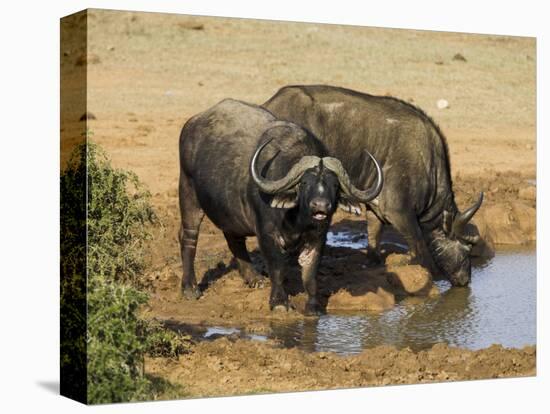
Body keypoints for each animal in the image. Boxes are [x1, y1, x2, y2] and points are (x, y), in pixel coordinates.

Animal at [180, 99, 384, 314]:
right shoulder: (267, 234)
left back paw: (254, 278)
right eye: (304, 183)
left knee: (234, 239)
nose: (320, 206)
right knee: (188, 237)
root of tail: (192, 123)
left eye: (334, 185)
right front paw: (279, 302)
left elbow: (310, 273)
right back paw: (190, 288)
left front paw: (313, 306)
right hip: (188, 192)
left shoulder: (317, 237)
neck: (296, 220)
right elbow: (277, 267)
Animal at [266, 84, 486, 284]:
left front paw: (374, 262)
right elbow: (420, 249)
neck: (429, 165)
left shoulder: (376, 208)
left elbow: (374, 235)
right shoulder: (400, 213)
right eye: (467, 248)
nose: (465, 279)